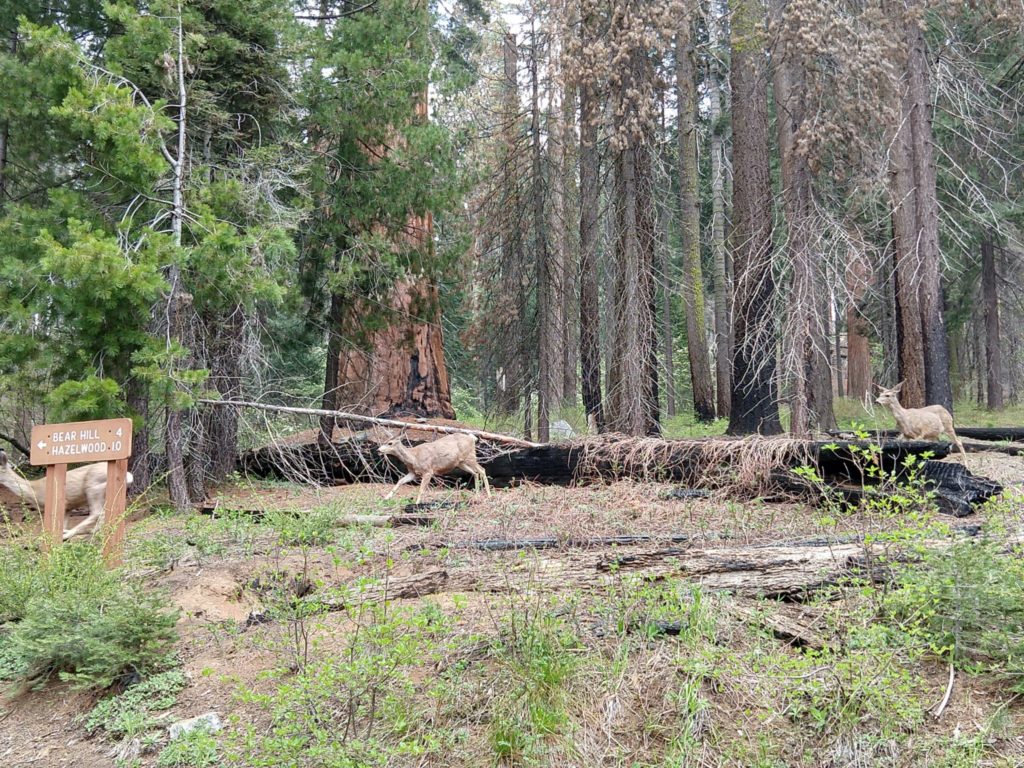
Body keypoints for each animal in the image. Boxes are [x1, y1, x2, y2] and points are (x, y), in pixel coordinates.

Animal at [0, 448, 133, 536]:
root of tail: (128, 476)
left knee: (96, 512)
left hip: (93, 487)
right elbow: (61, 524)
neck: (33, 491)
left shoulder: (59, 503)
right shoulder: (68, 507)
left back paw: (70, 534)